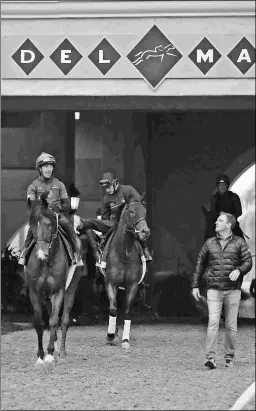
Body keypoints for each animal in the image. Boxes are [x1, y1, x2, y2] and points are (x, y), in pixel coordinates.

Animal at [24, 193, 81, 370]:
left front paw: (49, 356)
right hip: (46, 295)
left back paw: (61, 354)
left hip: (70, 289)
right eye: (31, 225)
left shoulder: (59, 291)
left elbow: (55, 321)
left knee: (64, 320)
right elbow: (40, 322)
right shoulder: (35, 292)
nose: (41, 255)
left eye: (49, 225)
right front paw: (40, 357)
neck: (46, 262)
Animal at [103, 201, 150, 350]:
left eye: (145, 211)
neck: (124, 254)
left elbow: (128, 312)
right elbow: (113, 309)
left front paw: (125, 340)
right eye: (132, 212)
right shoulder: (110, 282)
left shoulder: (132, 285)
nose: (145, 232)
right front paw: (110, 335)